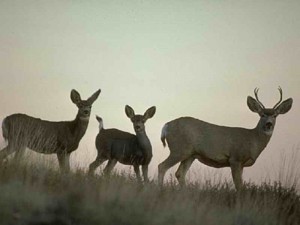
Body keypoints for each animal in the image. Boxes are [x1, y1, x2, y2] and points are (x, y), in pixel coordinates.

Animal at [159, 87, 292, 190]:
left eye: (275, 115)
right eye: (262, 114)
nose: (268, 124)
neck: (252, 139)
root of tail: (166, 126)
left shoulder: (242, 164)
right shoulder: (235, 158)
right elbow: (239, 186)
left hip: (190, 154)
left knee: (179, 173)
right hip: (179, 149)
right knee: (162, 166)